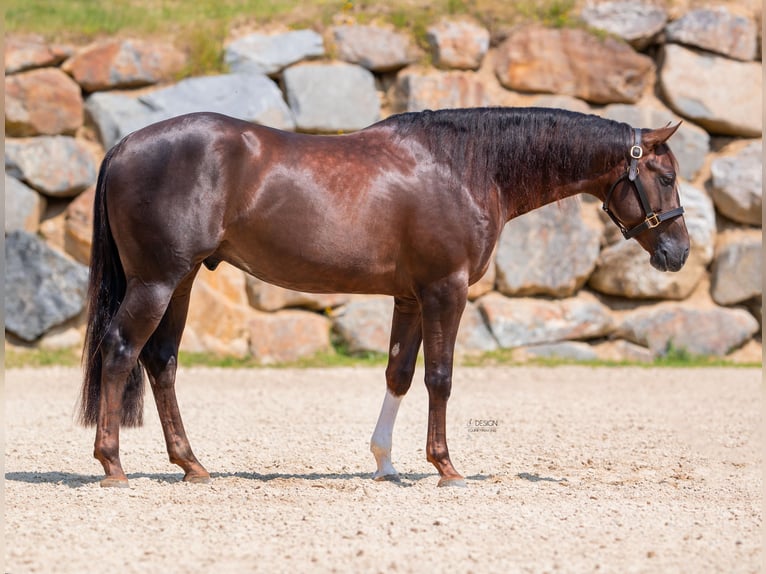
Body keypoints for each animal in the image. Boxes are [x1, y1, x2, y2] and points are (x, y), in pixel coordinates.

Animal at [81, 106, 692, 488]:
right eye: (664, 177)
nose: (679, 252)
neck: (464, 167)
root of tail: (125, 145)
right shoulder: (446, 290)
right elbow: (440, 377)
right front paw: (445, 467)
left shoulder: (411, 298)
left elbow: (398, 373)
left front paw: (384, 463)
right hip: (157, 281)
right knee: (120, 350)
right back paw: (112, 465)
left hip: (181, 281)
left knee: (161, 361)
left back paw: (192, 465)